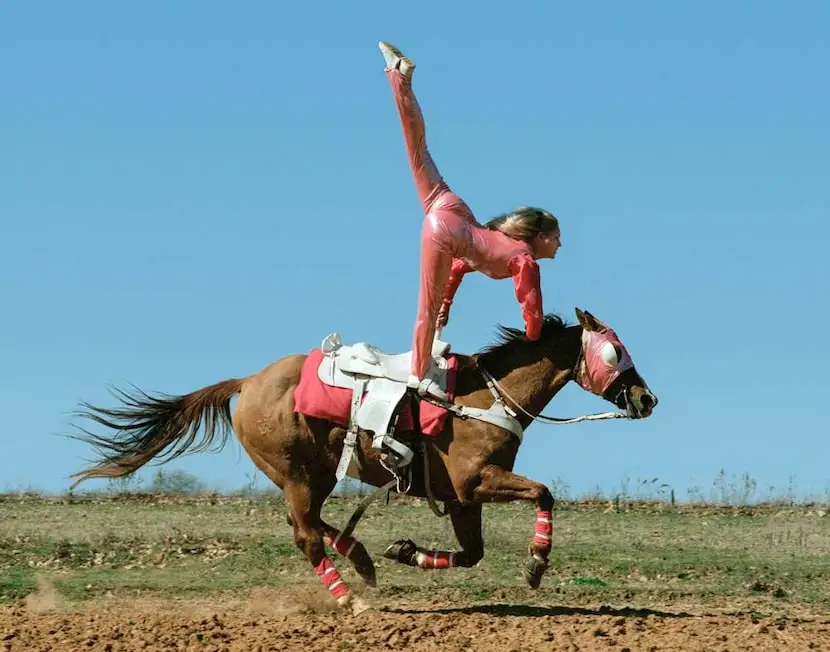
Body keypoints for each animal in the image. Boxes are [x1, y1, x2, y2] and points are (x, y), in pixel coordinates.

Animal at [68, 306, 660, 612]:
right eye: (615, 352)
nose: (646, 398)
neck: (484, 397)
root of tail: (247, 383)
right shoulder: (477, 483)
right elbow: (543, 491)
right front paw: (536, 563)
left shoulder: (460, 498)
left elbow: (472, 554)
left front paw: (406, 551)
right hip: (299, 474)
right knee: (305, 534)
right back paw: (350, 598)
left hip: (312, 475)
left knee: (308, 524)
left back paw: (362, 558)